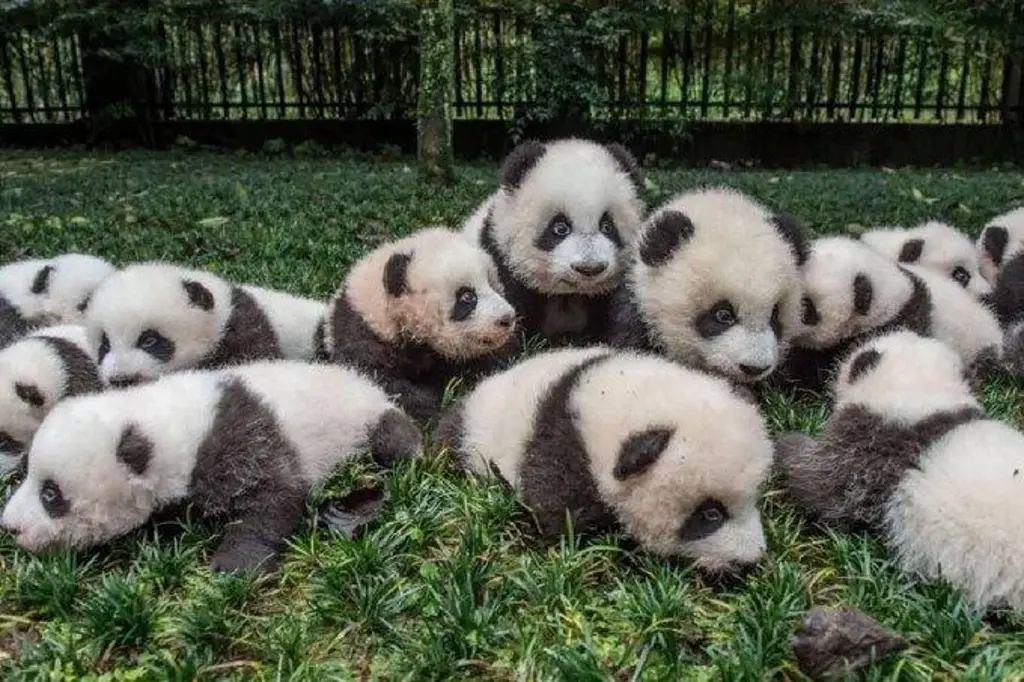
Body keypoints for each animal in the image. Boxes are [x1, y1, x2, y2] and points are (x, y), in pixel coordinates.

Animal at [0, 360, 422, 575]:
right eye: (25, 474)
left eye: (51, 494)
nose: (10, 527)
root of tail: (365, 382)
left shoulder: (239, 438)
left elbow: (274, 496)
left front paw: (232, 564)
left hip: (363, 417)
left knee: (392, 437)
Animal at [323, 226, 517, 423]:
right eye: (467, 297)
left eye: (493, 285)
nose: (507, 318)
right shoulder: (361, 338)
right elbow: (384, 383)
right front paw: (431, 406)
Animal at [435, 346, 773, 579]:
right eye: (710, 514)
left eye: (754, 499)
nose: (751, 560)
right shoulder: (564, 449)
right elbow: (557, 514)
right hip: (474, 438)